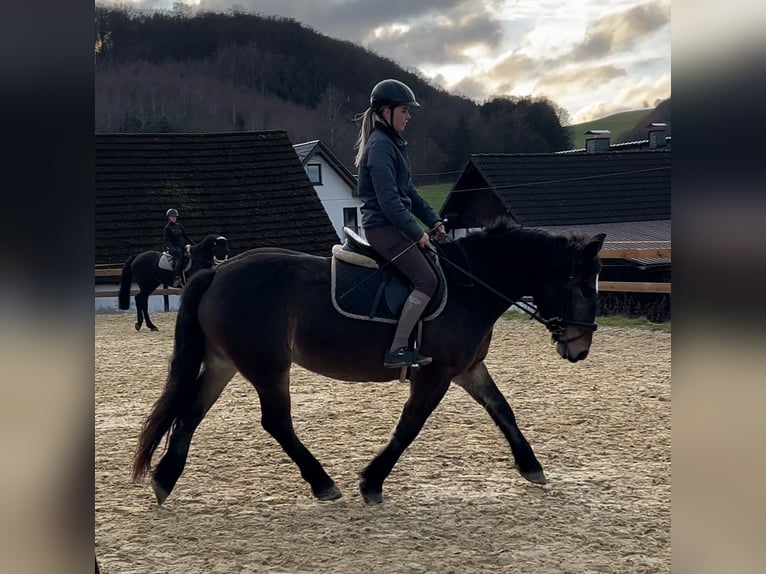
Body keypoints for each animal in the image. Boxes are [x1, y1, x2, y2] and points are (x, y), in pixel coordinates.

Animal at [132, 223, 608, 506]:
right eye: (584, 286)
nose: (580, 348)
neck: (470, 286)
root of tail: (218, 272)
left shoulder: (468, 370)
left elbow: (503, 411)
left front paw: (532, 467)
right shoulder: (436, 374)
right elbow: (410, 426)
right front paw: (372, 482)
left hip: (224, 362)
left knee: (191, 412)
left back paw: (164, 479)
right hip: (268, 366)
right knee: (275, 422)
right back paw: (322, 482)